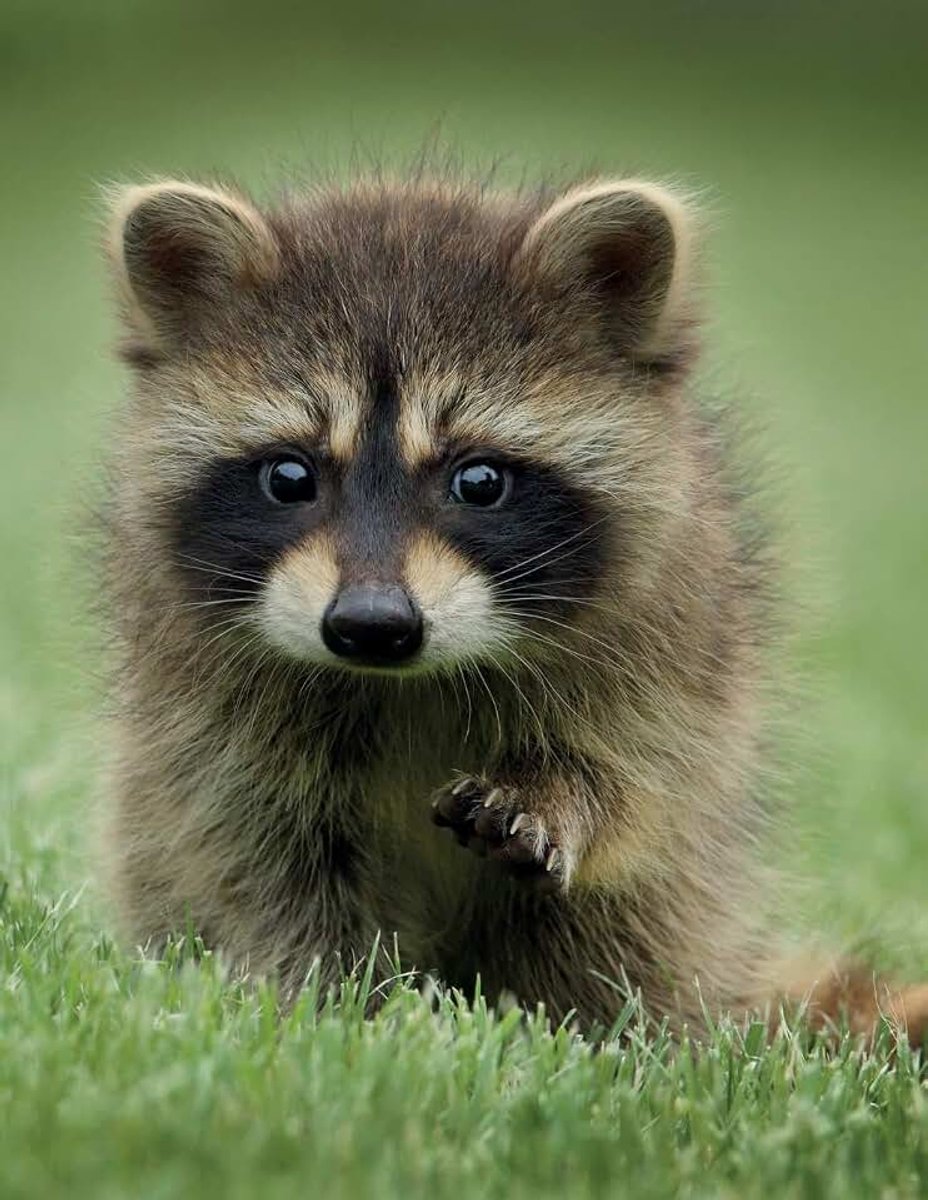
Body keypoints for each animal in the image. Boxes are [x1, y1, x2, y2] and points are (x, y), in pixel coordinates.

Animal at [100, 171, 928, 1043]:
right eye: (290, 477)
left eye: (480, 480)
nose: (372, 625)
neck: (409, 682)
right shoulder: (207, 708)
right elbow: (259, 857)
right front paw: (339, 1004)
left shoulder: (674, 633)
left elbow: (640, 777)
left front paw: (561, 795)